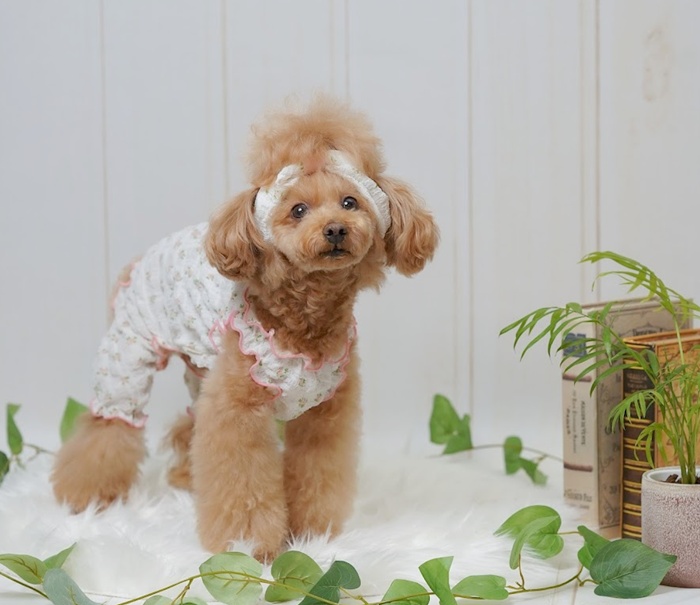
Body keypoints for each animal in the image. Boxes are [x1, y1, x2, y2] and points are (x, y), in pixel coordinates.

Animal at [51, 96, 439, 561]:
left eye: (350, 202)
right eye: (298, 210)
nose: (335, 230)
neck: (305, 315)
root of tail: (137, 262)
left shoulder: (327, 413)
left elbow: (317, 470)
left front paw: (311, 534)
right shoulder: (239, 409)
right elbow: (243, 479)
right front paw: (248, 545)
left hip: (202, 368)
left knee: (188, 424)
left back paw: (185, 479)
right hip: (128, 356)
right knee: (107, 427)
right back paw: (85, 496)